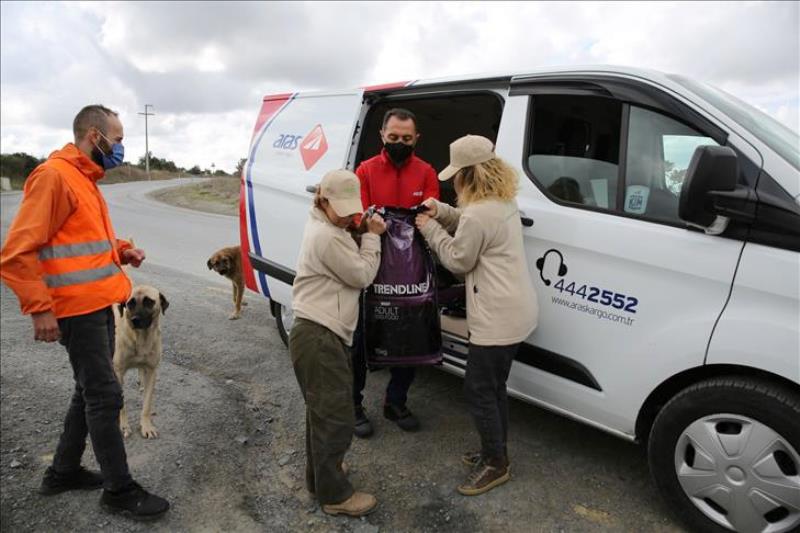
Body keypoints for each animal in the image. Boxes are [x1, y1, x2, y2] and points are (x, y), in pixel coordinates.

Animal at [114, 284, 169, 438]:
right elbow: (121, 404)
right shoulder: (118, 372)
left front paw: (146, 426)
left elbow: (147, 404)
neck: (141, 338)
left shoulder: (152, 370)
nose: (135, 320)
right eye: (130, 303)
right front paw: (124, 426)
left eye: (149, 301)